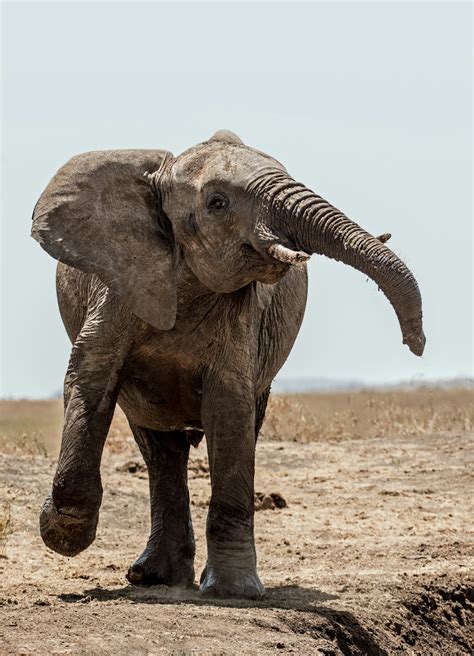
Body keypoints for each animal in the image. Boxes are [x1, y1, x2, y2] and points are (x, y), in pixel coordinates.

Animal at [31, 129, 425, 599]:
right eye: (217, 203)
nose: (416, 343)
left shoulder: (242, 316)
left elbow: (230, 408)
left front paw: (233, 592)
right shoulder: (118, 286)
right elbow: (90, 374)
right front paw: (62, 534)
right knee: (159, 448)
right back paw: (152, 577)